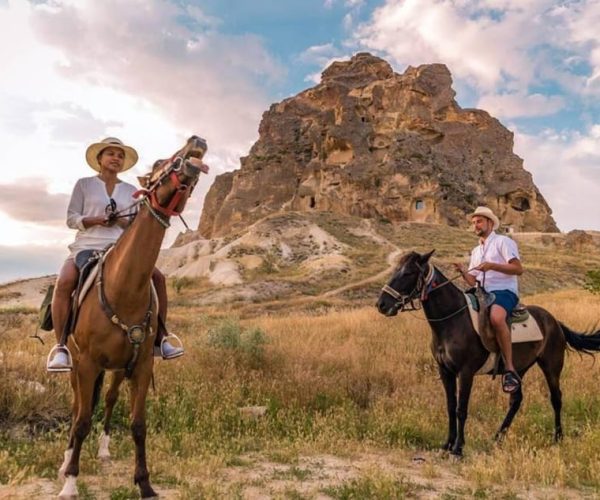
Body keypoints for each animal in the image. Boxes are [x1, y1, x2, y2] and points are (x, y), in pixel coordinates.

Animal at [58, 135, 209, 498]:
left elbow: (138, 425)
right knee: (77, 406)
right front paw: (70, 481)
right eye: (157, 164)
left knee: (109, 399)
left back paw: (103, 450)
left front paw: (144, 483)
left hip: (116, 368)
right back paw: (66, 459)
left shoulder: (141, 366)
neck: (123, 289)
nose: (196, 141)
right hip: (77, 363)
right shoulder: (87, 364)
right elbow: (82, 420)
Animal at [376, 250, 600, 458]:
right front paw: (447, 444)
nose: (382, 304)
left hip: (551, 366)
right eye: (395, 270)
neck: (453, 321)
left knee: (556, 398)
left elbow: (461, 409)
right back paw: (498, 437)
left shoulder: (465, 372)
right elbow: (450, 406)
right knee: (516, 400)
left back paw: (558, 438)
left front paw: (458, 448)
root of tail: (555, 322)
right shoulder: (445, 371)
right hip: (518, 369)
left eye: (409, 272)